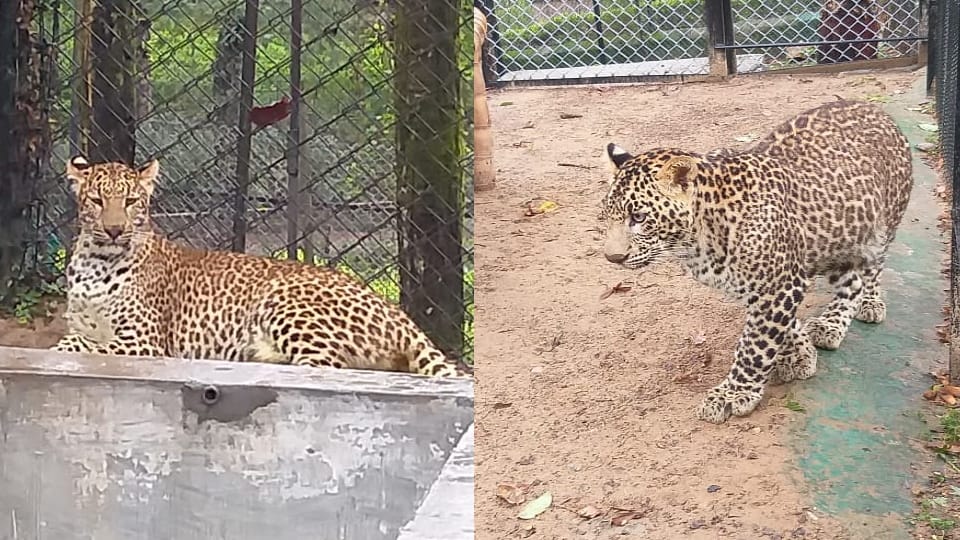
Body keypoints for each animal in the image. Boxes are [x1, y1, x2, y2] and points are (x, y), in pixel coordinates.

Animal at [52, 156, 470, 378]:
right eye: (97, 200)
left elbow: (83, 344)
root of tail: (399, 315)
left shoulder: (145, 342)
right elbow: (79, 337)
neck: (95, 261)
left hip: (286, 303)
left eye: (131, 201)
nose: (114, 229)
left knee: (326, 367)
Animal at [597, 99, 912, 423]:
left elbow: (755, 345)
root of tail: (875, 108)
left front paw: (733, 393)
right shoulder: (768, 284)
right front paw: (800, 356)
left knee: (870, 272)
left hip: (881, 228)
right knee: (852, 280)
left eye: (639, 217)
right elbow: (783, 327)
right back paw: (829, 324)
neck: (696, 239)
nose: (613, 257)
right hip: (839, 237)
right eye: (607, 215)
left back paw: (865, 306)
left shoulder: (778, 285)